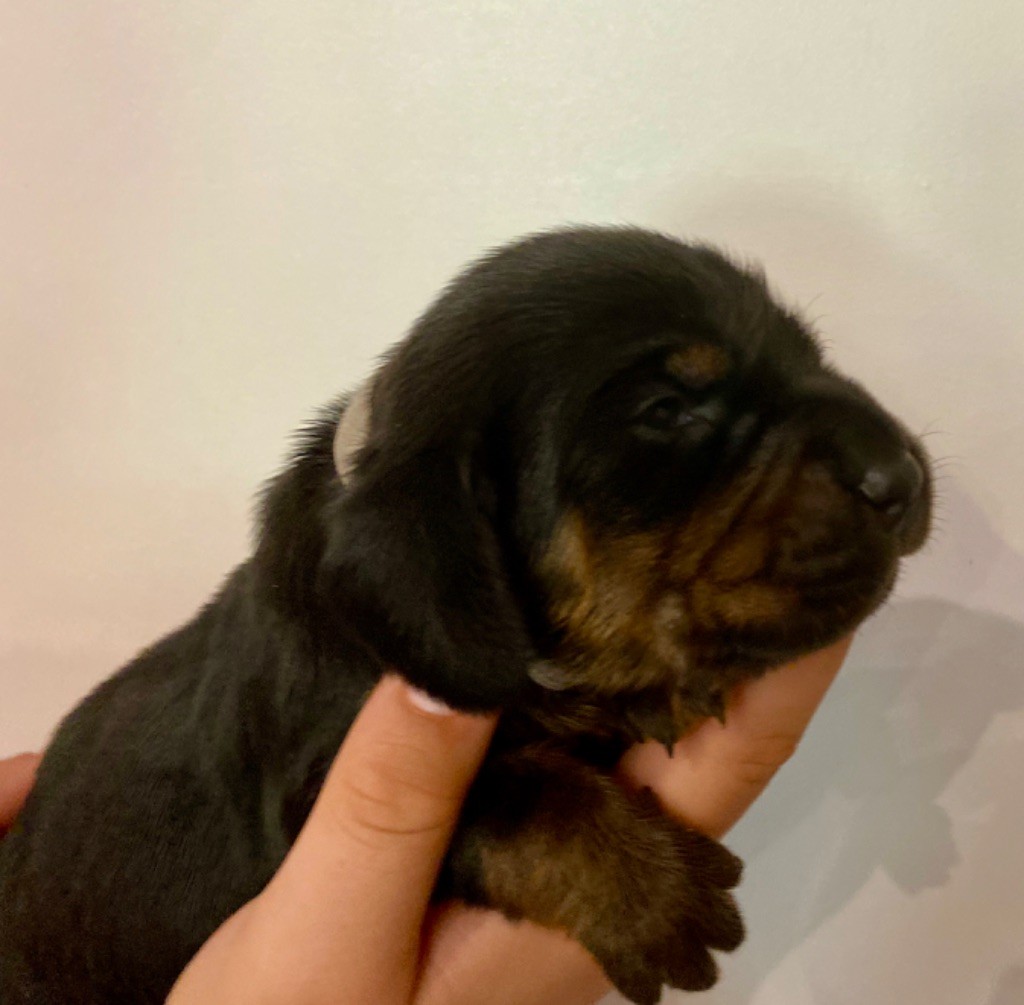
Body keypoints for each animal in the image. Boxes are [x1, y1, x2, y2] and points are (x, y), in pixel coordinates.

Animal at [0, 226, 932, 1004]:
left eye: (814, 354)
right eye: (665, 412)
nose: (903, 475)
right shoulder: (308, 806)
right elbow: (513, 791)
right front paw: (650, 889)